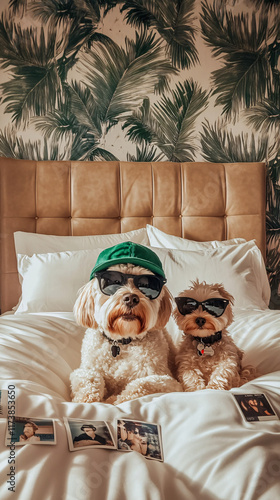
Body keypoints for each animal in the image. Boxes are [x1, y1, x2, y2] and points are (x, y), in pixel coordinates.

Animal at [70, 242, 182, 406]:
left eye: (145, 285)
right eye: (113, 282)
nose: (131, 298)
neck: (121, 342)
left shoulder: (167, 380)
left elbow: (141, 384)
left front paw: (113, 399)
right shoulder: (82, 370)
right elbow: (90, 379)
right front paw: (84, 399)